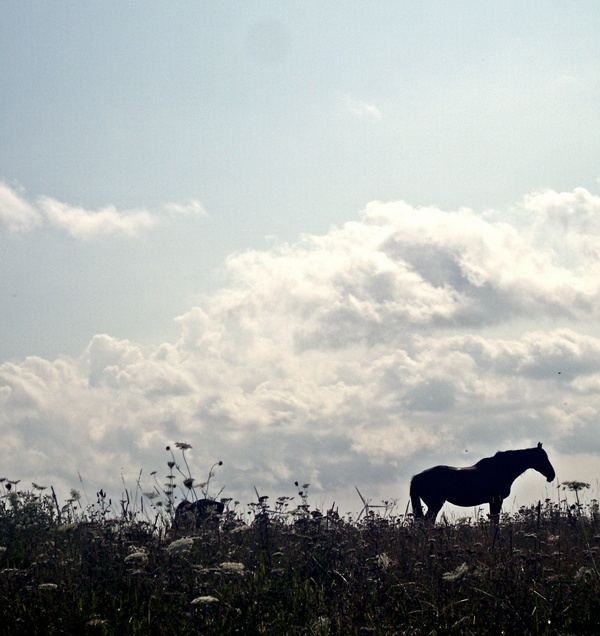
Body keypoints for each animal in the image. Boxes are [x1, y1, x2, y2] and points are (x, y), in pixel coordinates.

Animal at [410, 442, 556, 520]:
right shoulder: (496, 500)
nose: (552, 475)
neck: (502, 469)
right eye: (543, 458)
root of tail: (417, 477)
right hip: (435, 504)